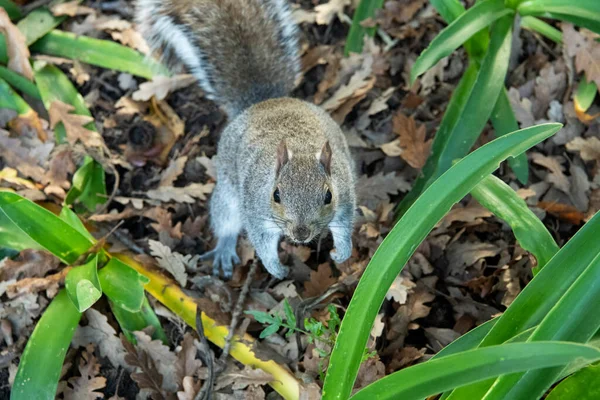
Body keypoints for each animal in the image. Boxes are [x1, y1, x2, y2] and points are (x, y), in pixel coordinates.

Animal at [136, 0, 356, 278]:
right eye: (276, 195)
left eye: (328, 196)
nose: (301, 233)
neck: (300, 149)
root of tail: (266, 102)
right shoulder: (256, 210)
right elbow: (261, 241)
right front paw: (276, 269)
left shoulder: (345, 196)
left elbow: (345, 224)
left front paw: (342, 252)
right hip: (229, 195)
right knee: (227, 221)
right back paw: (225, 249)